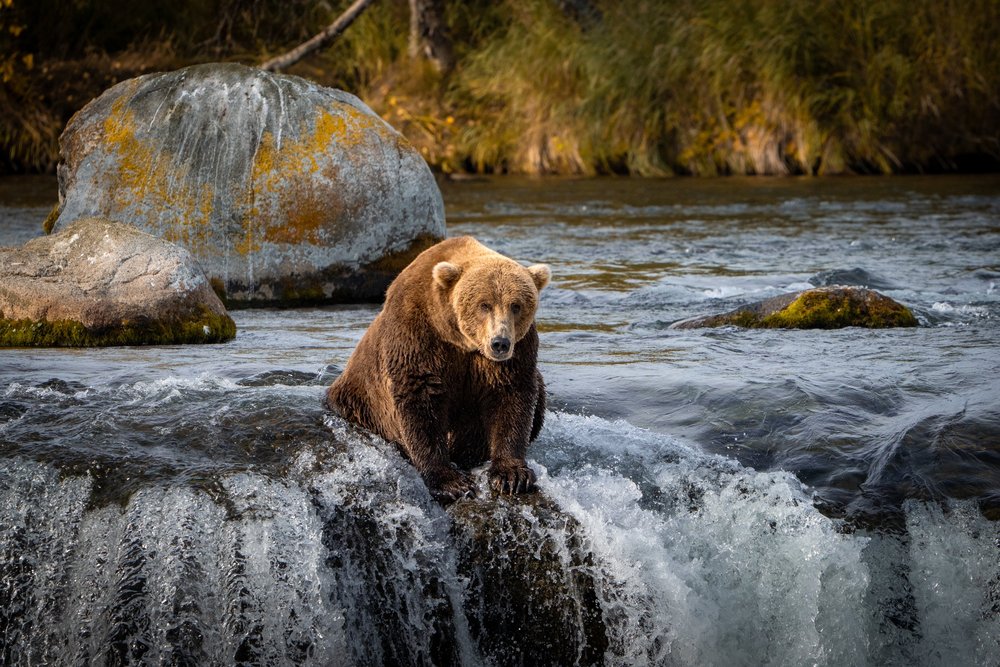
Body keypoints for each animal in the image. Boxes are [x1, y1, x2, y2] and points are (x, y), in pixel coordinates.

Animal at [326, 236, 550, 501]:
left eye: (516, 305)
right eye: (484, 304)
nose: (500, 343)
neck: (461, 340)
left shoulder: (515, 351)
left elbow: (512, 398)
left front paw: (511, 475)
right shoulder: (418, 334)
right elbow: (420, 401)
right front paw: (450, 482)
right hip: (361, 400)